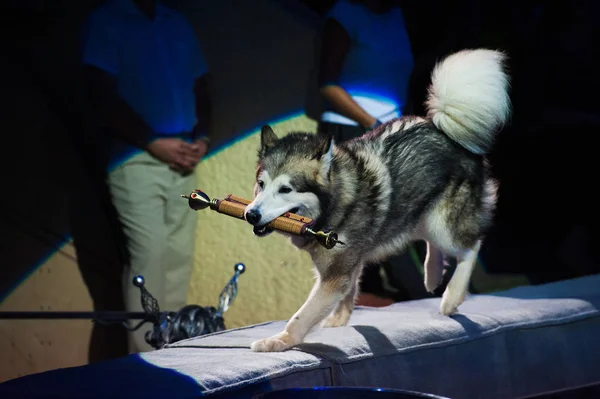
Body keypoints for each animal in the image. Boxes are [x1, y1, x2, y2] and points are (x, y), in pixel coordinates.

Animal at [244, 49, 510, 354]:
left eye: (286, 189)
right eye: (261, 185)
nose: (250, 214)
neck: (336, 203)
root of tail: (445, 128)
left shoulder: (336, 274)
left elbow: (303, 314)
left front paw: (279, 340)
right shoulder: (345, 265)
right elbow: (346, 294)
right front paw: (338, 320)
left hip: (443, 223)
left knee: (470, 246)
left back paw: (452, 296)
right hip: (421, 215)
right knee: (433, 241)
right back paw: (432, 274)